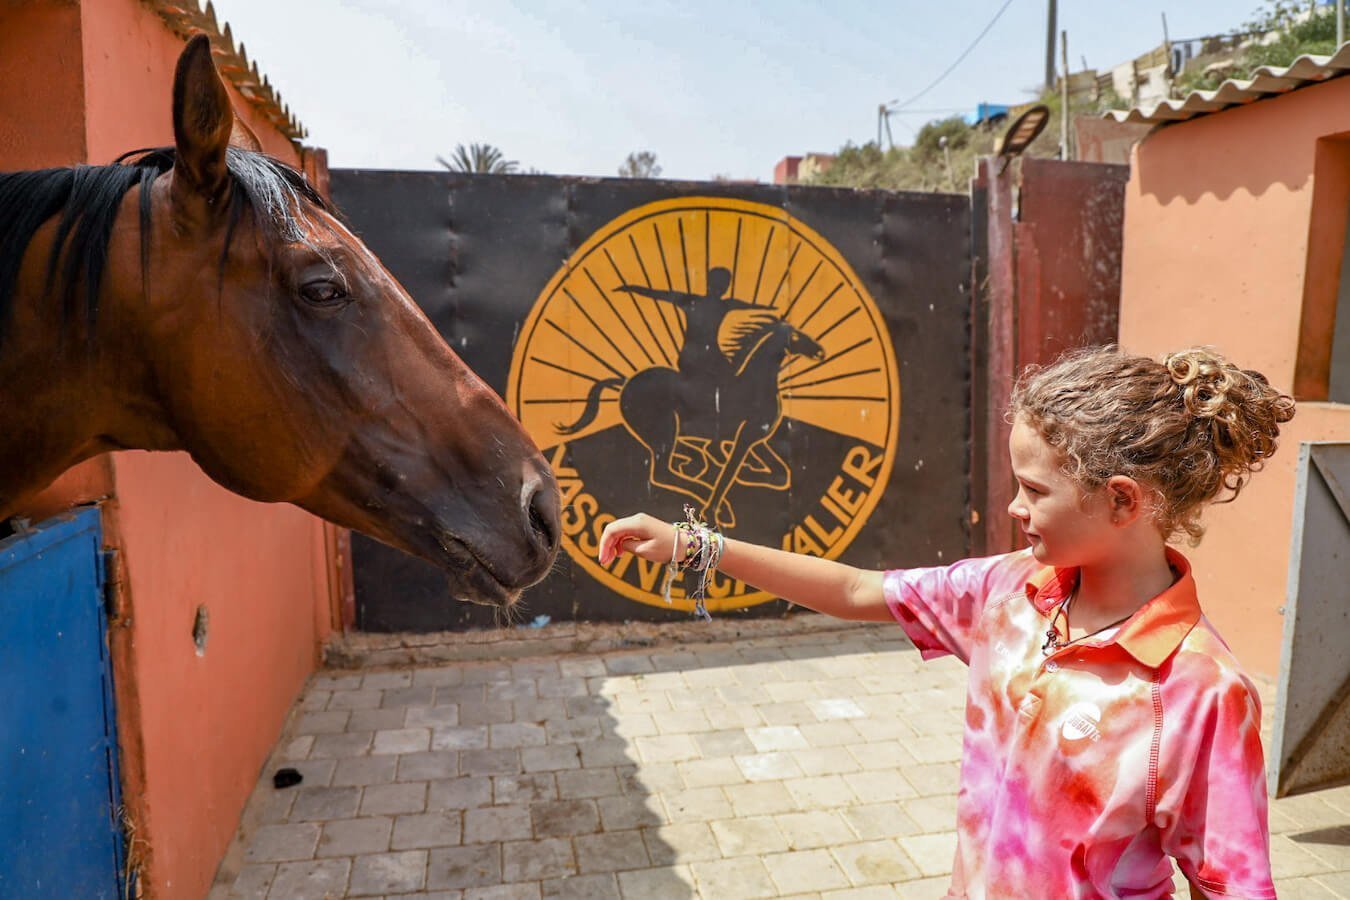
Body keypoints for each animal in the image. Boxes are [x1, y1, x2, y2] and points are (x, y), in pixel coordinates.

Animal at [558, 311, 824, 527]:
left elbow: (778, 475)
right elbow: (729, 473)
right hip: (664, 430)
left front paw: (719, 465)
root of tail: (624, 385)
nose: (820, 352)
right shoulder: (746, 437)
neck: (756, 386)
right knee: (661, 473)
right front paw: (717, 507)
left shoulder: (757, 440)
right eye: (796, 336)